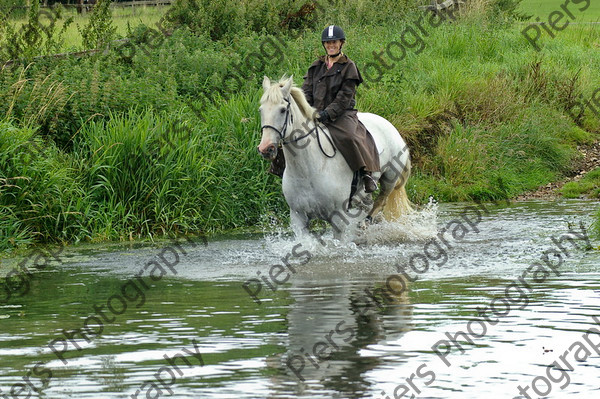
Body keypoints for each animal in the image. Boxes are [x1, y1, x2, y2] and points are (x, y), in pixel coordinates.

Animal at [258, 77, 412, 241]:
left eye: (282, 110)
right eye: (261, 110)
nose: (265, 148)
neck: (309, 169)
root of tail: (391, 126)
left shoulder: (338, 218)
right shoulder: (298, 218)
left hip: (390, 178)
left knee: (381, 201)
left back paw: (364, 223)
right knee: (367, 203)